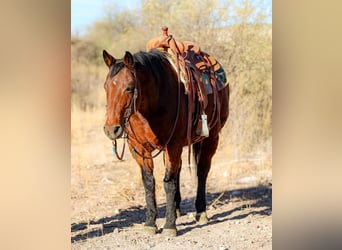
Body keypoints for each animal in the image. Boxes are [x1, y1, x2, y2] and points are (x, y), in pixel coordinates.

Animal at [102, 47, 230, 235]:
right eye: (106, 87)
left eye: (129, 88)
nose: (111, 129)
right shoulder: (139, 148)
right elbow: (149, 182)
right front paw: (150, 223)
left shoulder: (173, 144)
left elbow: (168, 182)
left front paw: (170, 225)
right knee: (179, 170)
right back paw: (176, 209)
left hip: (212, 137)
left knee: (202, 172)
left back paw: (200, 212)